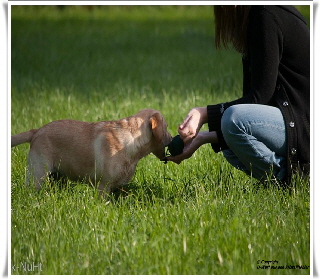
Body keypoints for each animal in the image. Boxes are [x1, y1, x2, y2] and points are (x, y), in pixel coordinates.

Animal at [11, 110, 172, 195]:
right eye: (166, 127)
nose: (171, 138)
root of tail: (37, 131)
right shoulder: (103, 186)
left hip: (58, 176)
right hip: (38, 174)